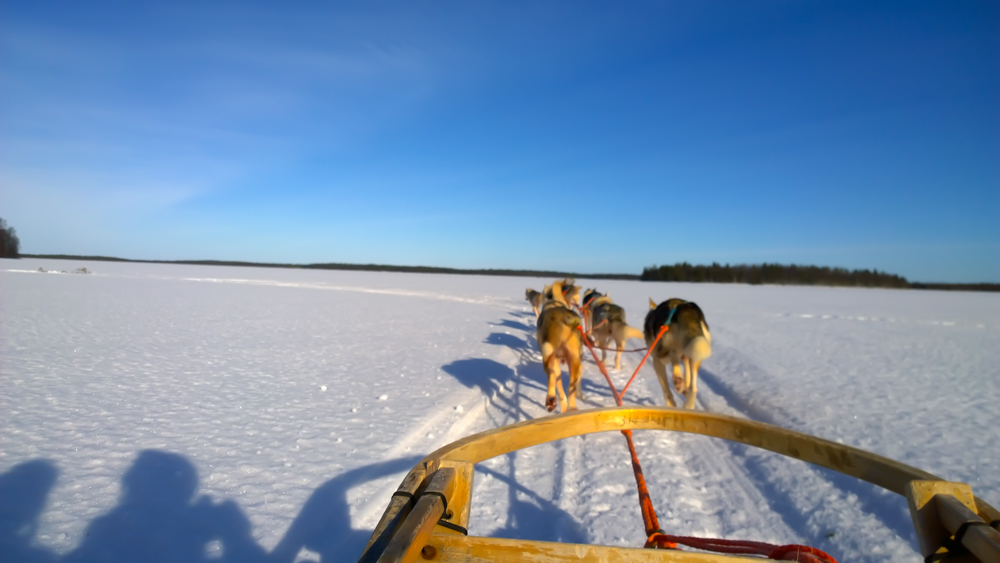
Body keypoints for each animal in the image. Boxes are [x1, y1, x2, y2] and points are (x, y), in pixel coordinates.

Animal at [540, 282, 584, 414]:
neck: (555, 302)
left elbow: (558, 384)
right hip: (574, 360)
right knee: (571, 388)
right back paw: (572, 407)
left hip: (549, 356)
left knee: (552, 376)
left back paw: (551, 399)